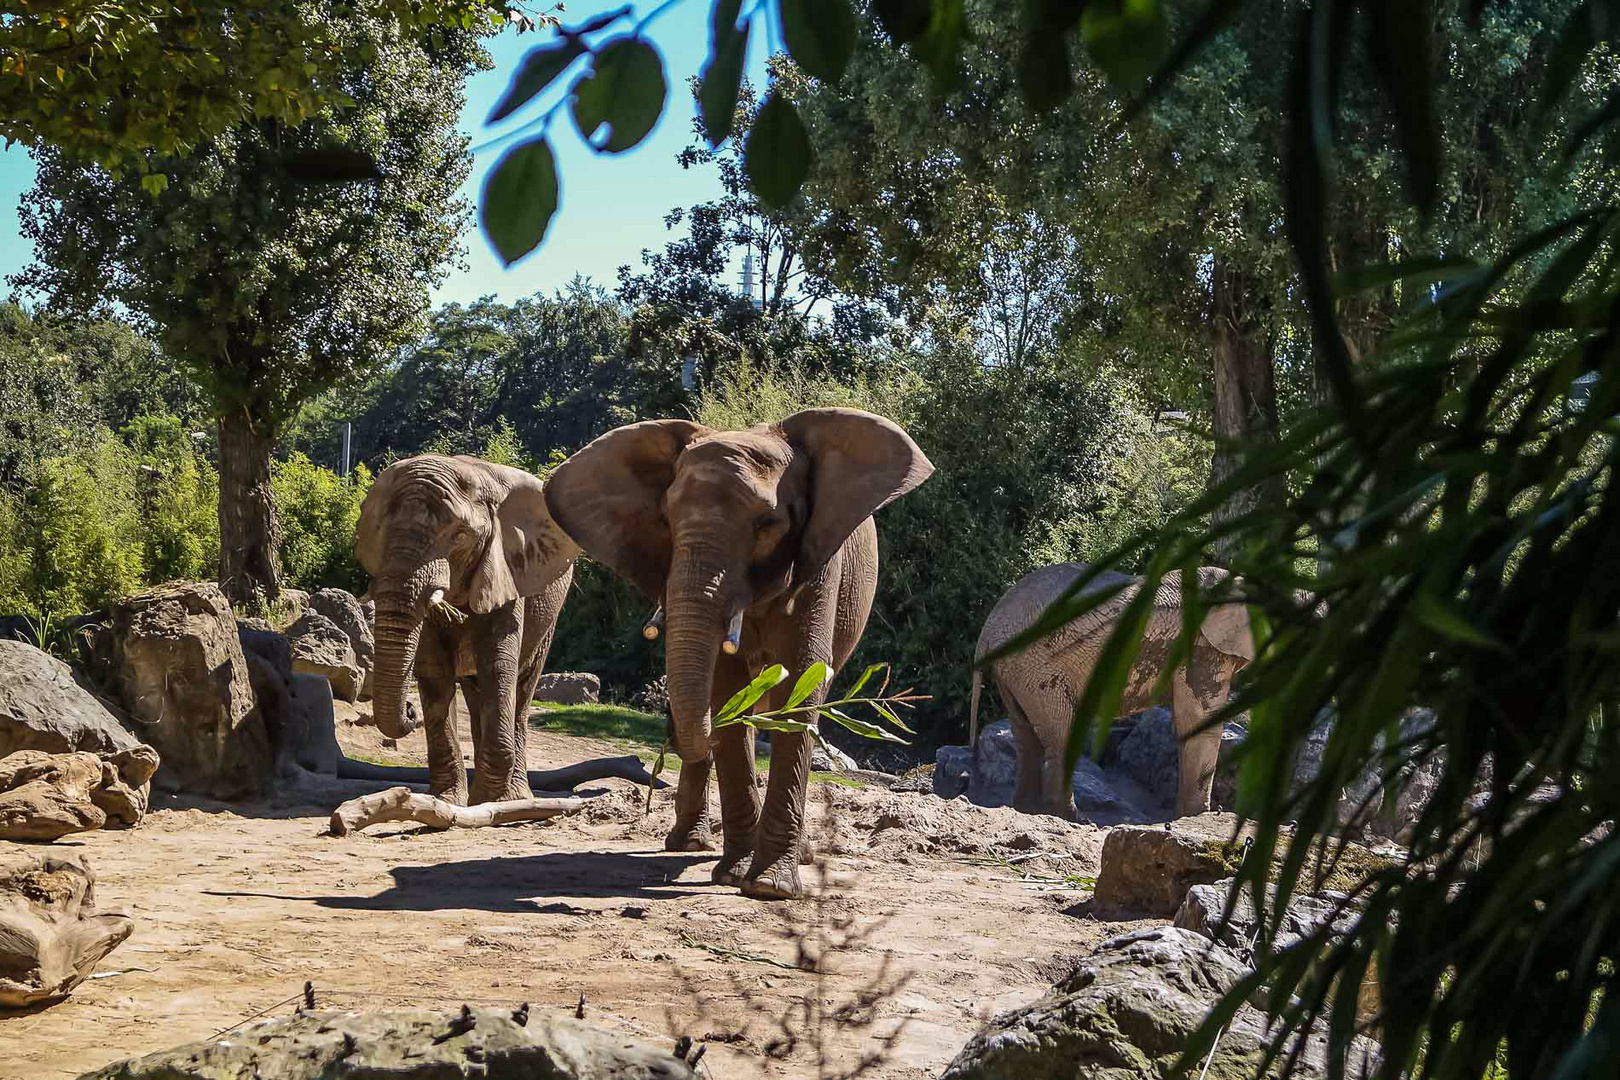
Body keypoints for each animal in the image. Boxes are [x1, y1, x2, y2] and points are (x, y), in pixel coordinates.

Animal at [358, 453, 579, 806]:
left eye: (460, 535)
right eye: (380, 530)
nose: (410, 711)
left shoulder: (506, 570)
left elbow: (498, 667)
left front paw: (490, 802)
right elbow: (435, 674)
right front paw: (449, 800)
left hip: (549, 616)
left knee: (521, 691)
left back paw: (517, 796)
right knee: (477, 695)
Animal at [541, 409, 933, 900]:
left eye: (767, 524)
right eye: (666, 518)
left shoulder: (821, 565)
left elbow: (798, 688)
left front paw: (769, 888)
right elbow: (727, 689)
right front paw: (734, 875)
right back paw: (689, 843)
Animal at [965, 566, 1257, 819]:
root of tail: (988, 630)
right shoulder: (1200, 647)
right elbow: (1200, 724)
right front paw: (1198, 816)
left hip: (1014, 672)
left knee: (1026, 738)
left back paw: (1028, 811)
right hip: (1037, 669)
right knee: (1062, 738)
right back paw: (1075, 818)